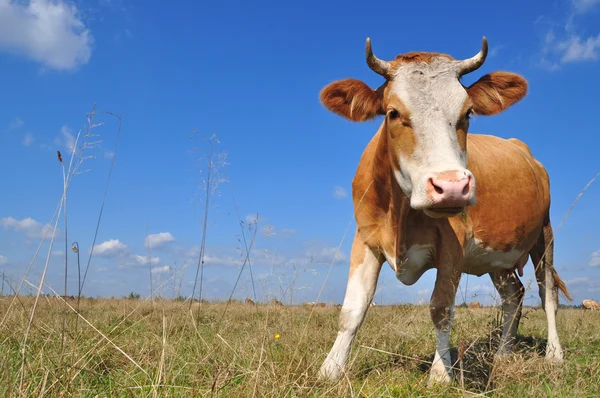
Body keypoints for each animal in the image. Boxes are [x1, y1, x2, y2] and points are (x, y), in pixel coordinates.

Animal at [314, 37, 572, 386]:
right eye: (393, 112)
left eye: (468, 112)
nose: (451, 186)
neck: (402, 213)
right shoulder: (365, 239)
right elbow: (352, 310)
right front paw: (330, 369)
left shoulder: (453, 246)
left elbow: (441, 309)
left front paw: (440, 373)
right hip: (497, 256)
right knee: (513, 295)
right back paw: (504, 352)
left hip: (544, 236)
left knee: (548, 294)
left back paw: (554, 354)